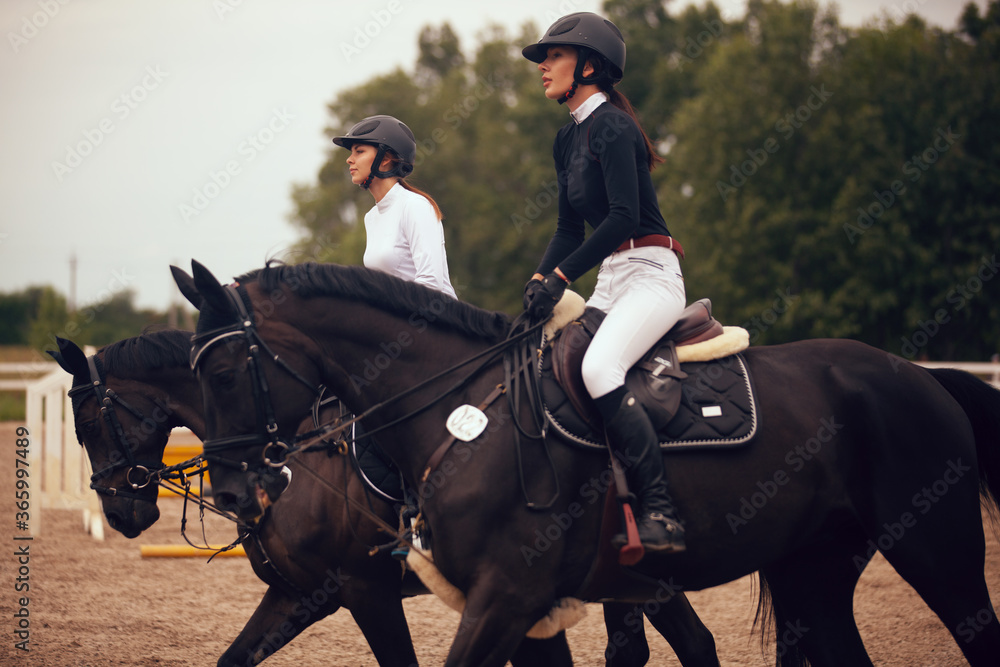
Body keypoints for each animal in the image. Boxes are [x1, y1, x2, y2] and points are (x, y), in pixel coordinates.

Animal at [174, 262, 1000, 667]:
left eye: (225, 374)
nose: (238, 491)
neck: (458, 409)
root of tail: (921, 375)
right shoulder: (321, 593)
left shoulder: (483, 594)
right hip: (811, 568)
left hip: (936, 548)